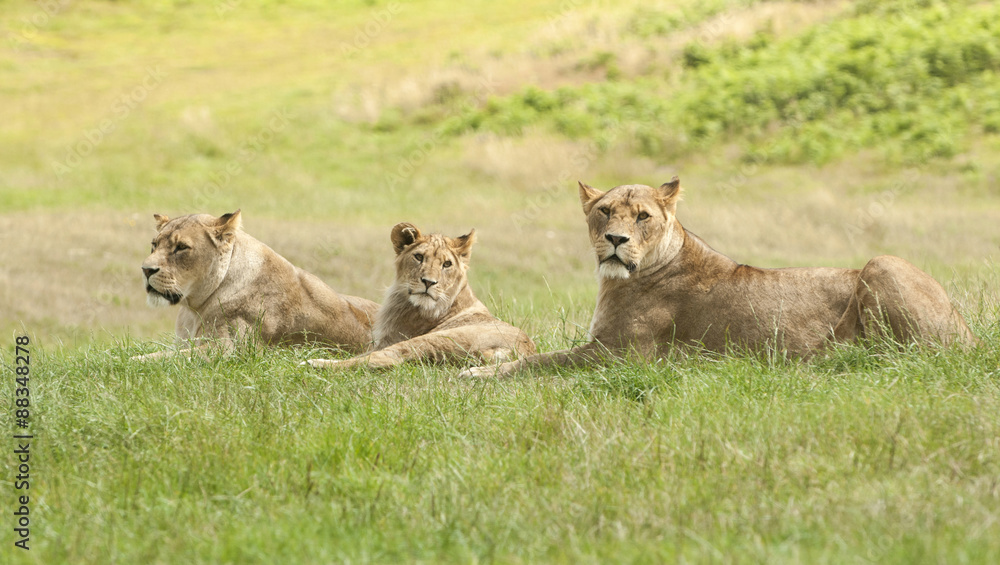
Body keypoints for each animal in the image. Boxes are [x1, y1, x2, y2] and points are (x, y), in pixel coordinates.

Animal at [134, 210, 379, 360]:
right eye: (154, 245)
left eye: (181, 247)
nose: (146, 270)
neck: (194, 309)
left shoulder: (231, 349)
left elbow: (155, 358)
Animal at [306, 222, 536, 370]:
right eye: (418, 257)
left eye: (447, 264)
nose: (428, 282)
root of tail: (519, 350)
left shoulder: (389, 340)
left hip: (434, 339)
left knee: (385, 359)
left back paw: (315, 364)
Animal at [462, 178, 978, 377]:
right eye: (605, 210)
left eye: (642, 216)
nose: (615, 239)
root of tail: (971, 334)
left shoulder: (619, 357)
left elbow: (538, 362)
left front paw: (475, 373)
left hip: (881, 263)